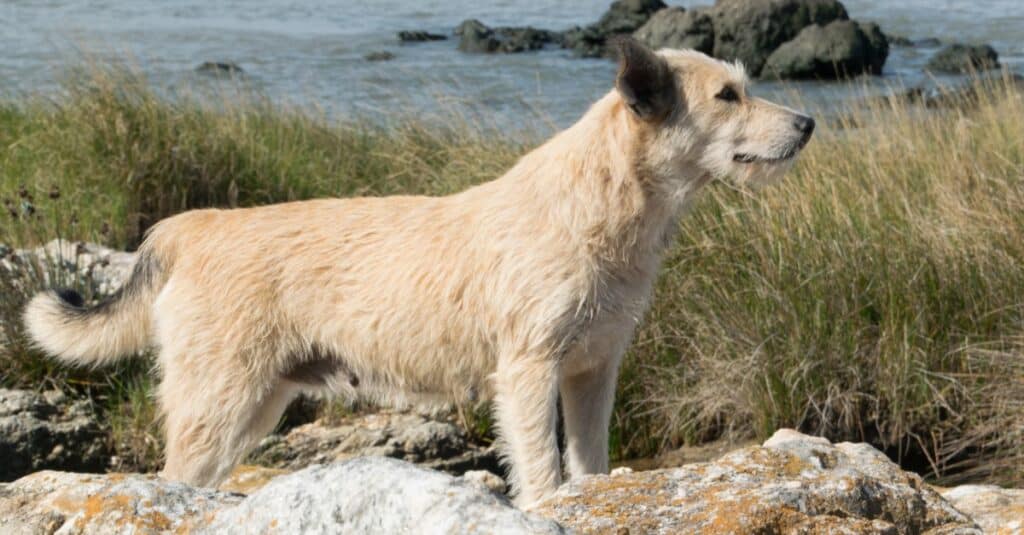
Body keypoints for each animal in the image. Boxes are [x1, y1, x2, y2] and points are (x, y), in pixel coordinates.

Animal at [25, 37, 815, 504]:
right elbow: (542, 466)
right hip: (218, 402)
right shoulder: (529, 370)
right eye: (727, 96)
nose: (808, 124)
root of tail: (193, 227)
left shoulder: (592, 371)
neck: (605, 204)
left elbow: (587, 462)